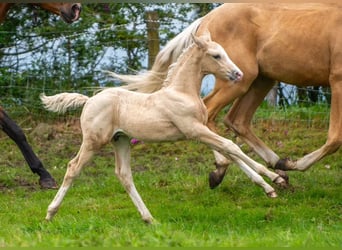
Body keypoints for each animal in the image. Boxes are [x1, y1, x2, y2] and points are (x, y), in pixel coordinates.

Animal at [40, 32, 286, 223]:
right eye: (216, 55)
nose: (239, 74)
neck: (183, 92)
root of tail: (89, 100)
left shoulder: (199, 132)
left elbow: (230, 153)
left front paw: (270, 186)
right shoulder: (195, 130)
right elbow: (231, 147)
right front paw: (275, 178)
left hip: (121, 140)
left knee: (124, 175)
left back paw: (149, 218)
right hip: (94, 141)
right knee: (73, 168)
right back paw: (50, 213)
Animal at [109, 3, 342, 188]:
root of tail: (206, 19)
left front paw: (287, 165)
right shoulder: (337, 80)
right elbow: (335, 139)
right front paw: (295, 163)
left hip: (260, 79)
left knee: (236, 120)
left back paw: (278, 167)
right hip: (240, 80)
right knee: (212, 113)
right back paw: (223, 168)